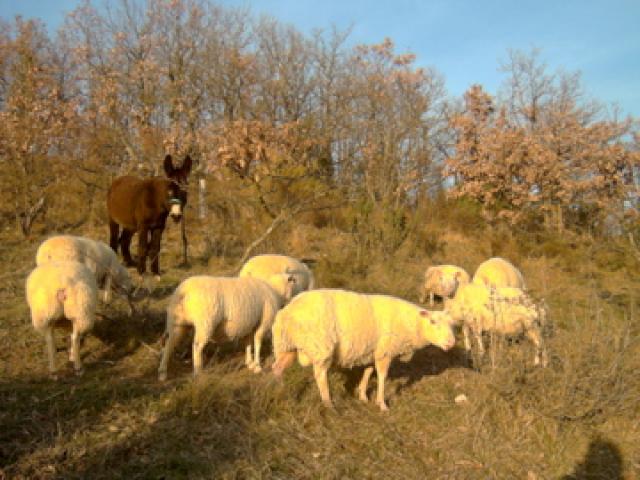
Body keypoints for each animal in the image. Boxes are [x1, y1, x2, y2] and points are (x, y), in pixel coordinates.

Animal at [156, 276, 296, 380]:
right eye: (292, 282)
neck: (275, 291)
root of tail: (184, 291)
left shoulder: (250, 324)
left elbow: (248, 343)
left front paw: (249, 363)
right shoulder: (264, 322)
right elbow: (258, 343)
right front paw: (257, 366)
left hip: (177, 323)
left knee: (169, 345)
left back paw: (162, 373)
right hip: (205, 322)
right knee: (196, 346)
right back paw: (198, 372)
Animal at [270, 288, 456, 412]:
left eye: (452, 324)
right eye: (433, 322)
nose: (451, 343)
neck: (410, 324)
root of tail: (288, 310)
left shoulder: (371, 352)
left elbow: (367, 372)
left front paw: (363, 396)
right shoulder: (385, 352)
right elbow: (382, 377)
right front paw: (382, 404)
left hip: (286, 346)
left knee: (277, 368)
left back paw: (281, 391)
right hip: (321, 347)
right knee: (320, 375)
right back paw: (328, 403)